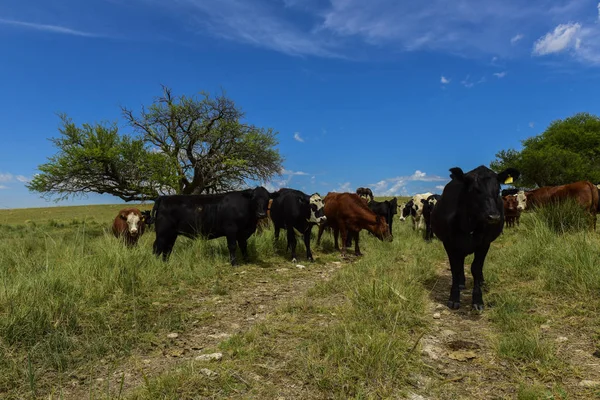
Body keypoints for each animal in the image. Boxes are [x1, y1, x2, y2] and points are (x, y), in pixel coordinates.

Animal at [432, 164, 520, 310]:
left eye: (498, 189)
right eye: (475, 190)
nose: (493, 216)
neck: (469, 224)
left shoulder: (484, 243)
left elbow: (476, 268)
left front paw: (478, 300)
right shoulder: (449, 243)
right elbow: (455, 268)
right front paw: (454, 298)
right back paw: (461, 283)